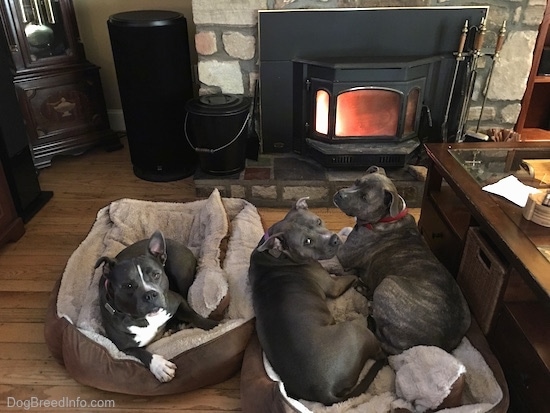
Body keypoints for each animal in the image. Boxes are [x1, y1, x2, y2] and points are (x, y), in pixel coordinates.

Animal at [44, 188, 264, 394]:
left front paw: (214, 326)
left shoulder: (176, 300)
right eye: (128, 285)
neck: (145, 319)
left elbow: (195, 315)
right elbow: (142, 353)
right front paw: (160, 366)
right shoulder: (123, 347)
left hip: (180, 271)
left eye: (156, 275)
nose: (150, 294)